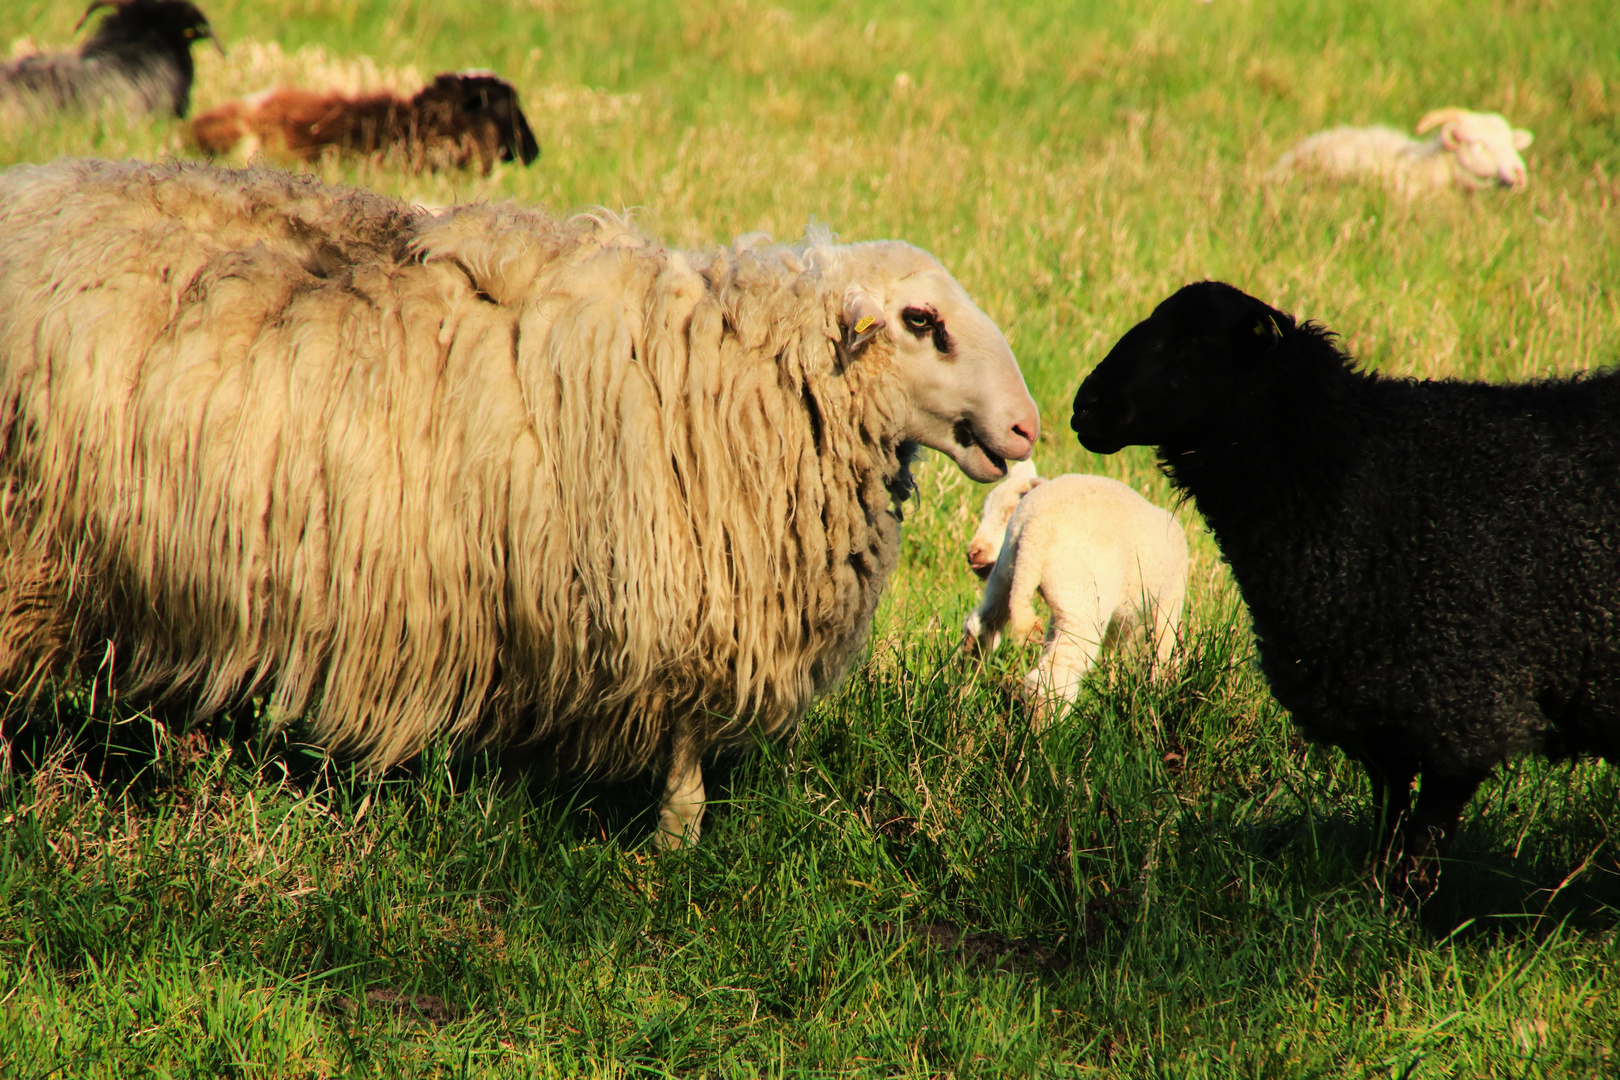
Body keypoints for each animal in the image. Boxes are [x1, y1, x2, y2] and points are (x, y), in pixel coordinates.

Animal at [0, 160, 1036, 854]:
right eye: (921, 323)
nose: (1028, 427)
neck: (728, 375)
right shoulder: (672, 599)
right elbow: (687, 755)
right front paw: (675, 852)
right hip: (29, 548)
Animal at [959, 463, 1192, 722]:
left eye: (1007, 510)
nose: (973, 553)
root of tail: (1033, 526)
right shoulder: (1170, 597)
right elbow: (1165, 650)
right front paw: (1162, 695)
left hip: (1007, 578)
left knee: (979, 630)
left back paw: (961, 691)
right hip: (1083, 601)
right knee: (1051, 676)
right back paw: (1049, 729)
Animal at [1062, 278, 1620, 906]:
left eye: (1198, 340)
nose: (1086, 406)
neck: (1347, 471)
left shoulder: (1463, 705)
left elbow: (1418, 850)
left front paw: (1396, 921)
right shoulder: (1378, 715)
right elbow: (1387, 828)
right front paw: (1368, 906)